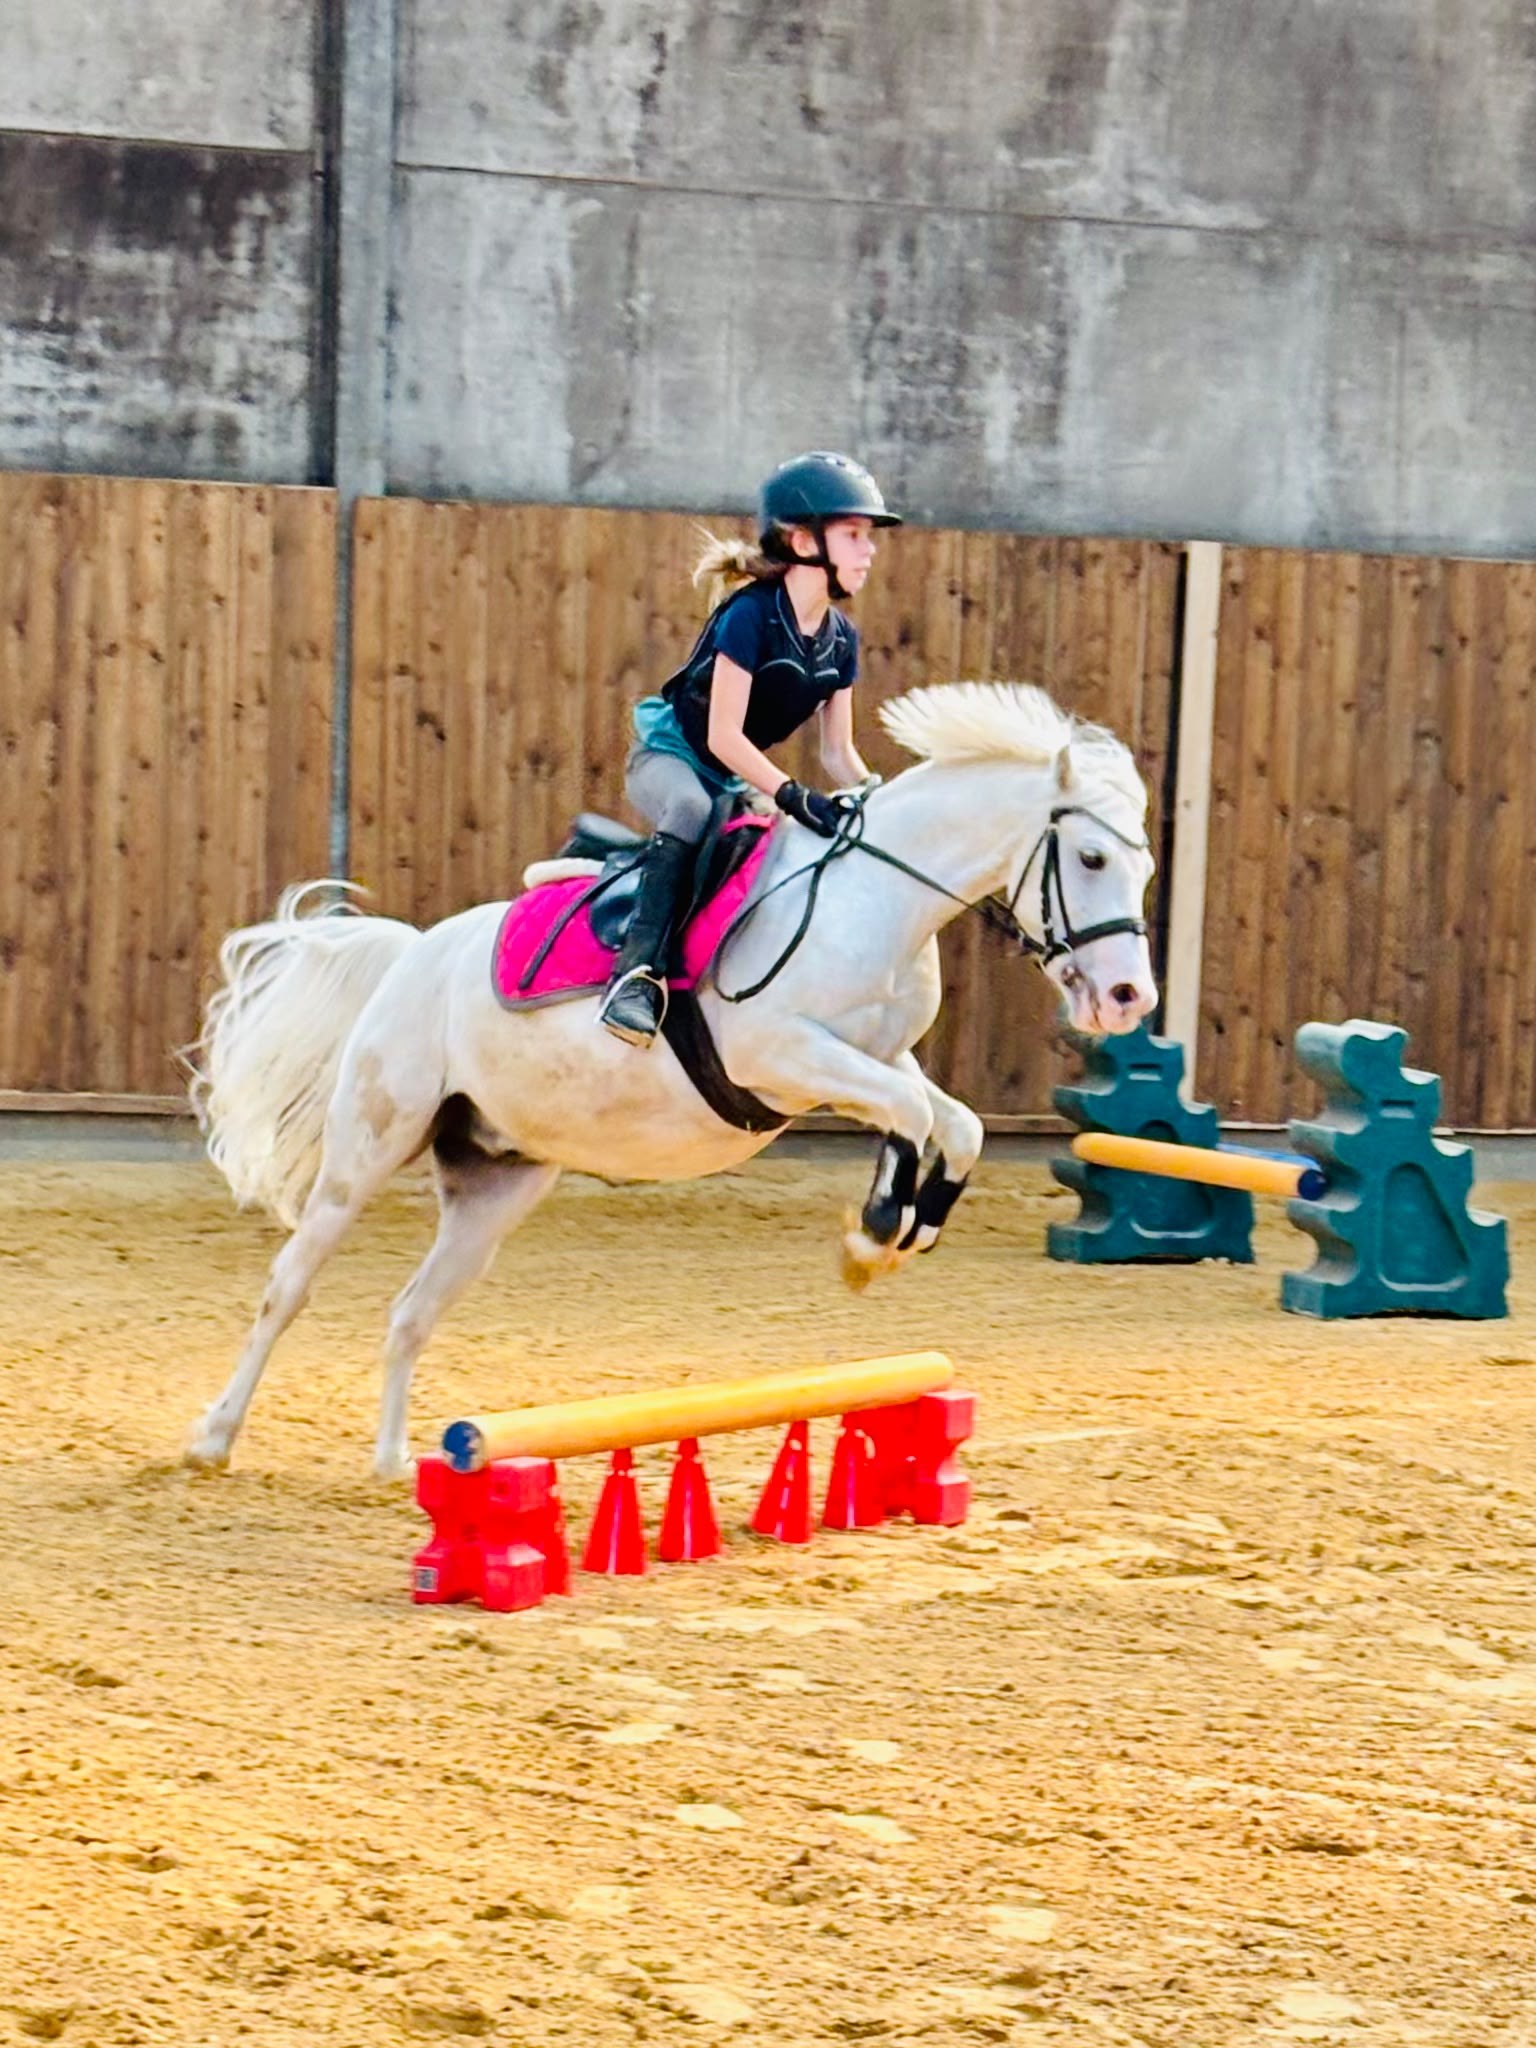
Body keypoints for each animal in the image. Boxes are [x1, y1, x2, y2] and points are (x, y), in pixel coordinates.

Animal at [185, 682, 1158, 1477]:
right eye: (1092, 860)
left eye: (1143, 864)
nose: (1127, 998)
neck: (877, 901)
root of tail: (411, 952)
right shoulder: (781, 1053)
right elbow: (917, 1114)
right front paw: (877, 1232)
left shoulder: (872, 1060)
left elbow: (951, 1123)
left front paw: (900, 1229)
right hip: (369, 1145)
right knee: (289, 1285)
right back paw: (213, 1438)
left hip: (495, 1181)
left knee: (411, 1312)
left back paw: (393, 1462)